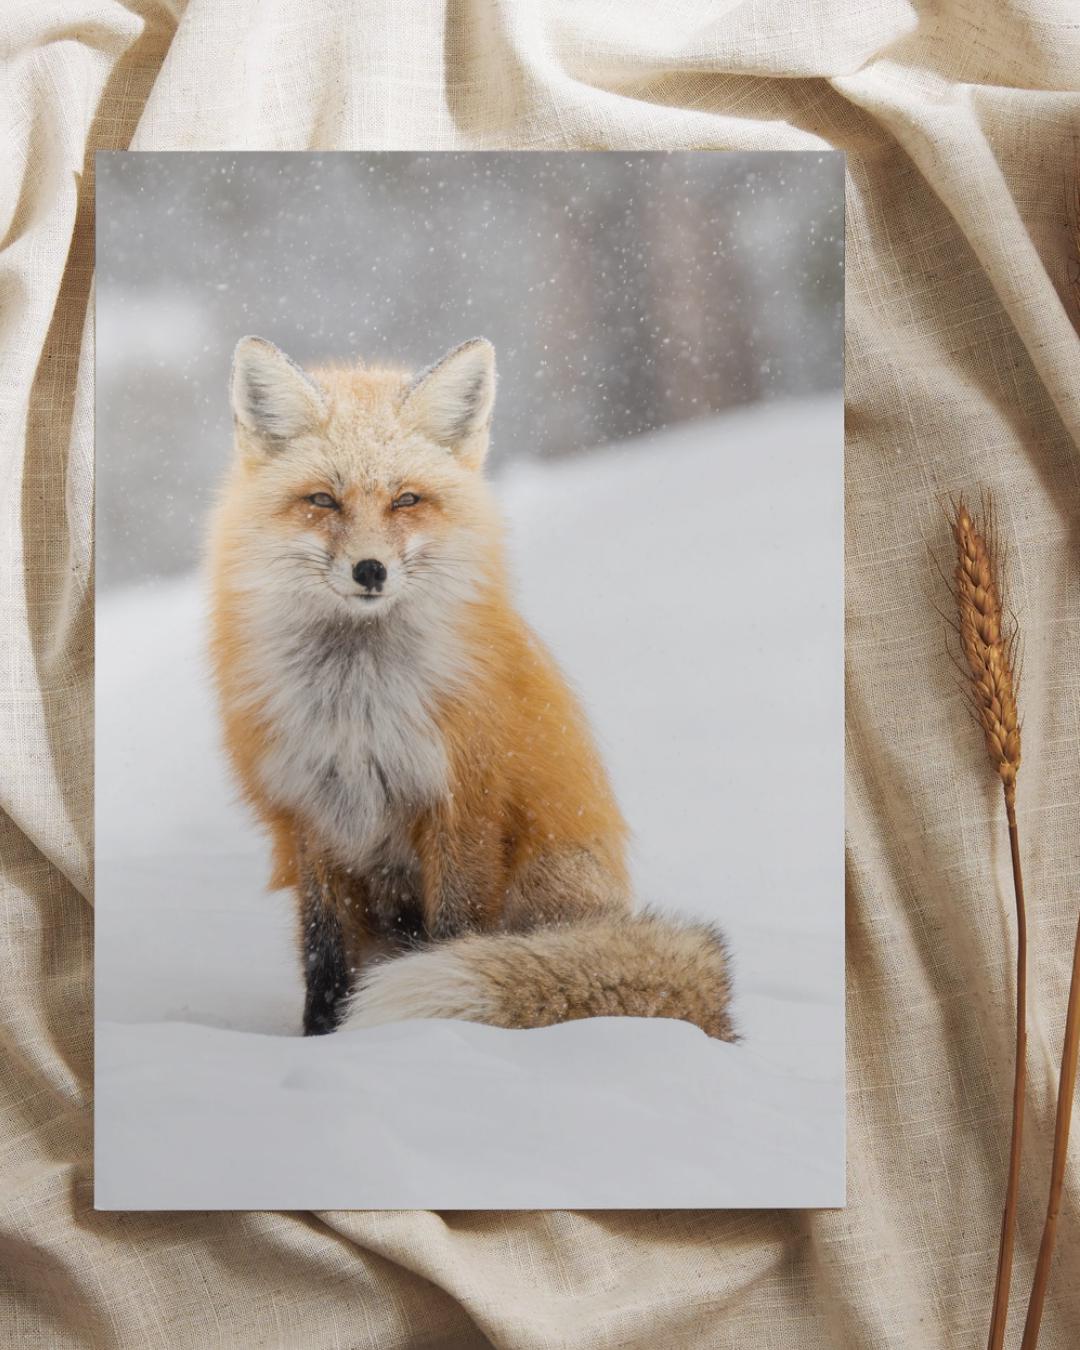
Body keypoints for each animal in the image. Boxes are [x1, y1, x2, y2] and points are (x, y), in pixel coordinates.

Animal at [207, 334, 735, 1042]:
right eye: (323, 501)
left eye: (406, 500)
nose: (370, 570)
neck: (358, 705)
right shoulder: (312, 813)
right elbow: (324, 951)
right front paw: (321, 1039)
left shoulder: (465, 804)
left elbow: (455, 931)